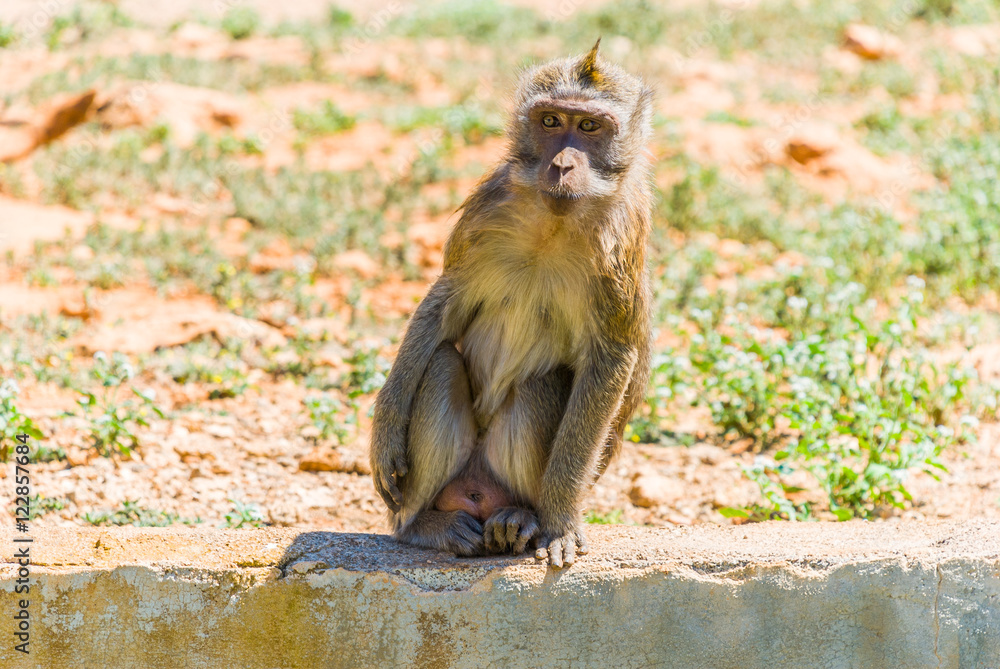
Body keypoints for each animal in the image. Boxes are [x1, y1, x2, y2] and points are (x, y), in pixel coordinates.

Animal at [370, 39, 653, 568]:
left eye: (589, 127)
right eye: (551, 121)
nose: (562, 166)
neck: (552, 224)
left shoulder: (618, 240)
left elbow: (611, 356)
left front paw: (559, 523)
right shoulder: (488, 207)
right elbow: (447, 303)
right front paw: (386, 428)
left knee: (541, 383)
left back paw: (522, 517)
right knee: (441, 362)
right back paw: (422, 526)